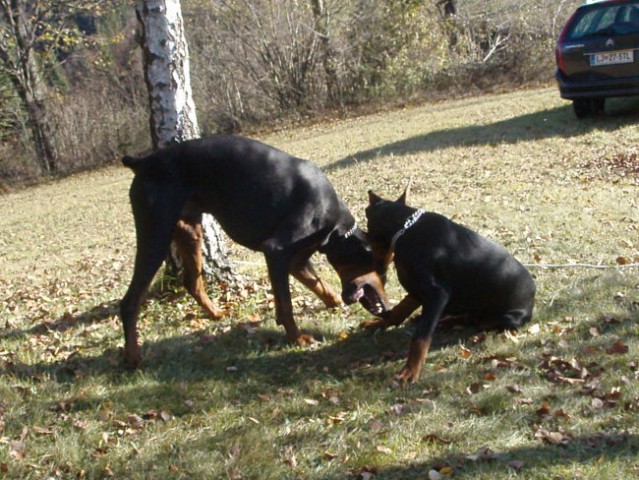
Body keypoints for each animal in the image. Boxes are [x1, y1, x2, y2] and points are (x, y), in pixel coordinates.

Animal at [120, 135, 390, 368]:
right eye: (382, 271)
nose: (388, 307)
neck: (335, 226)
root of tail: (142, 162)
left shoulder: (297, 260)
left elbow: (319, 286)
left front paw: (332, 303)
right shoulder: (276, 250)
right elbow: (287, 302)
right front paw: (297, 338)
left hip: (189, 231)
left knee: (192, 281)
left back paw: (216, 313)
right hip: (156, 233)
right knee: (130, 301)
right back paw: (132, 358)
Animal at [364, 188, 536, 382]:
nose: (376, 267)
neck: (405, 230)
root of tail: (532, 299)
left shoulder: (437, 292)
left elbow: (421, 336)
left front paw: (410, 371)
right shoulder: (417, 287)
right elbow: (399, 310)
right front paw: (378, 323)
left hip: (508, 317)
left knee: (480, 322)